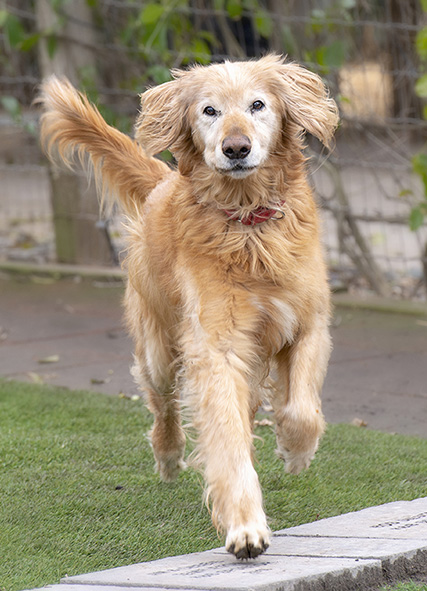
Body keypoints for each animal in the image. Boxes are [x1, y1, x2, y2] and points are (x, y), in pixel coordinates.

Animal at [38, 54, 340, 560]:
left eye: (258, 105)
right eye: (209, 111)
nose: (235, 148)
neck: (247, 223)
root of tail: (163, 181)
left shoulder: (309, 324)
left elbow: (300, 410)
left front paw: (295, 452)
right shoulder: (216, 346)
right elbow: (225, 436)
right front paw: (245, 526)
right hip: (158, 347)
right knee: (162, 404)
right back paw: (168, 456)